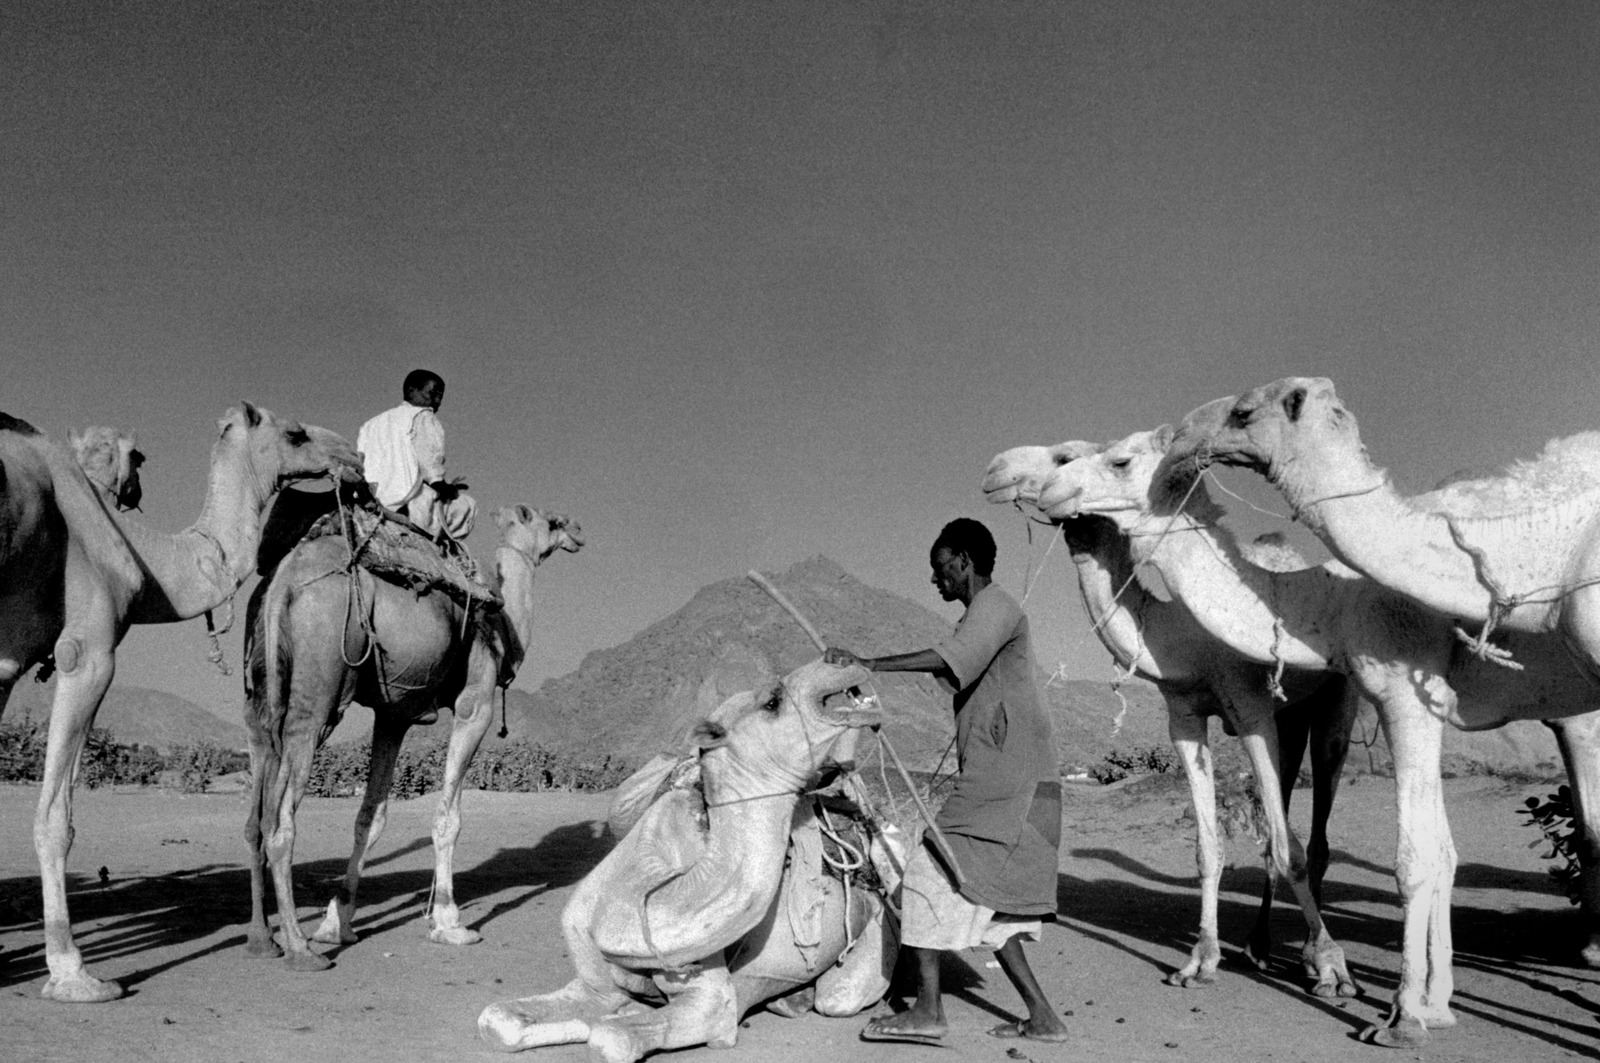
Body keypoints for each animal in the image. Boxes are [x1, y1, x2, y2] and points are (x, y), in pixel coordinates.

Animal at [0, 403, 363, 998]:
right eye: (295, 433)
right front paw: (74, 975)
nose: (353, 455)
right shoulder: (89, 649)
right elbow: (56, 817)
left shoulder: (5, 660)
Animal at [240, 502, 585, 966]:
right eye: (551, 522)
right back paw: (299, 948)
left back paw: (263, 940)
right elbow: (448, 817)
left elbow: (371, 817)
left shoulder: (394, 714)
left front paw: (337, 922)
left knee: (257, 809)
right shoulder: (475, 703)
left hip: (261, 690)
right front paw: (450, 922)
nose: (577, 531)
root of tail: (284, 580)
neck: (504, 620)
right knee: (281, 820)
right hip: (319, 686)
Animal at [470, 659, 902, 1056]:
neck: (644, 890)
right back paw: (789, 999)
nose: (841, 658)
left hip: (875, 927)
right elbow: (498, 1018)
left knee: (838, 996)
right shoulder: (595, 985)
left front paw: (624, 1019)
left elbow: (611, 1037)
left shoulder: (709, 1002)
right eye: (773, 701)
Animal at [979, 441, 1356, 998]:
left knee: (1319, 817)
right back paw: (1259, 946)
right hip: (1290, 714)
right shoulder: (1184, 716)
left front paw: (1331, 965)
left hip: (1335, 702)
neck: (1185, 636)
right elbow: (1209, 846)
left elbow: (1290, 849)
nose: (995, 469)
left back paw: (1312, 954)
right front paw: (1200, 961)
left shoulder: (1248, 706)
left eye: (1063, 457)